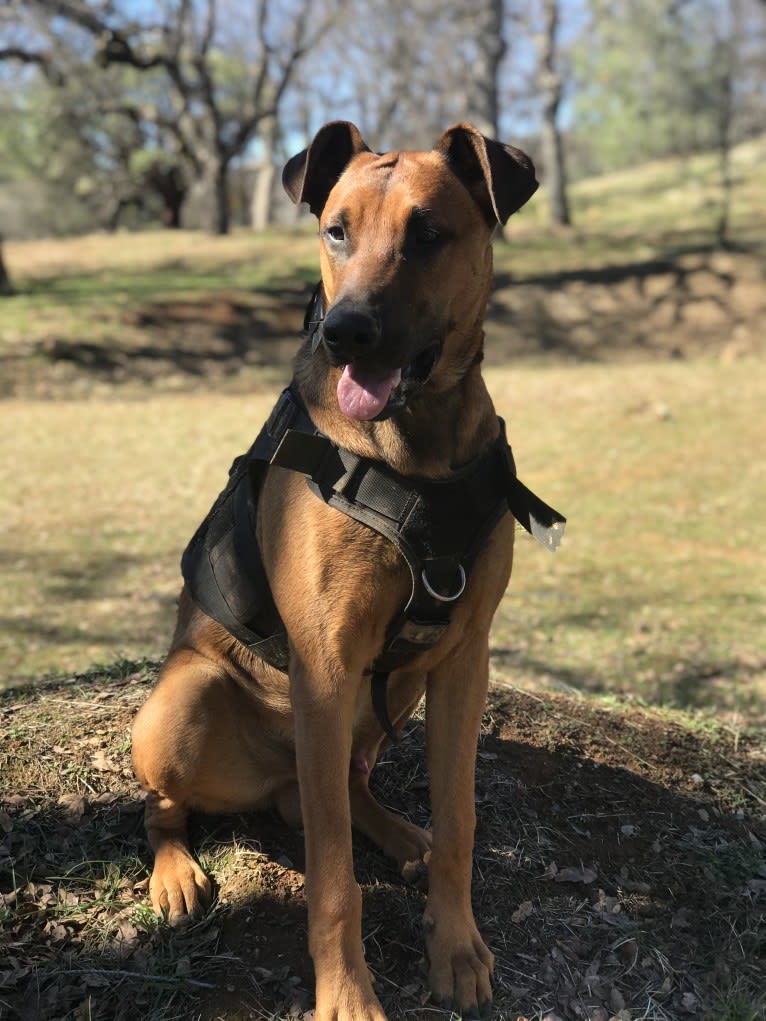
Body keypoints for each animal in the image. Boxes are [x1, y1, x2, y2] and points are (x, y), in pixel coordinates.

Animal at [133, 123, 559, 1016]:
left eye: (428, 233)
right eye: (335, 230)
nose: (347, 333)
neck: (413, 449)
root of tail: (271, 787)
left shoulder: (464, 660)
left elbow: (461, 822)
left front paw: (455, 945)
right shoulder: (325, 669)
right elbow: (333, 878)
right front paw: (347, 994)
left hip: (384, 701)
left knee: (352, 792)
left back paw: (402, 834)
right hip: (184, 702)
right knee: (169, 807)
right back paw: (176, 872)